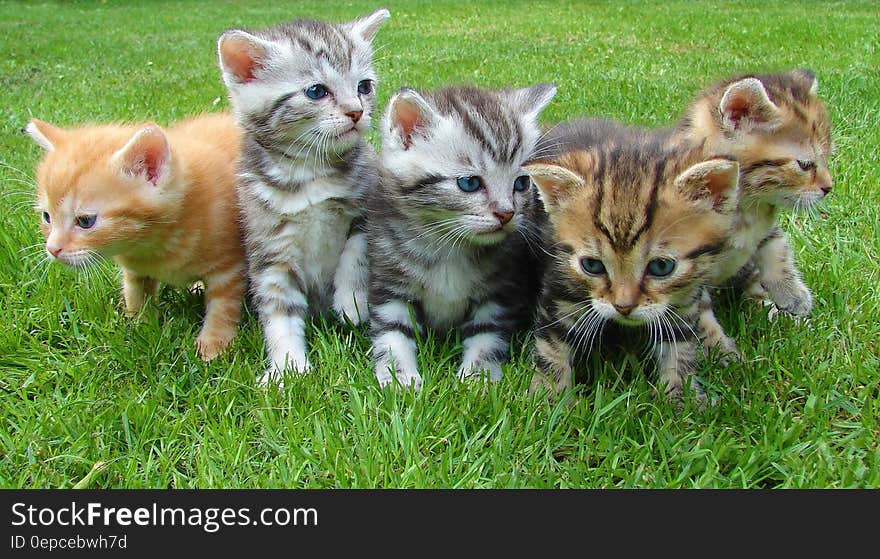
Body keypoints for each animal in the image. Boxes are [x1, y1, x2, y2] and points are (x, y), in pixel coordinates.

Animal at [27, 112, 246, 364]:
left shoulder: (228, 267)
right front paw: (141, 329)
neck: (151, 243)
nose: (52, 249)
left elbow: (223, 307)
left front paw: (213, 346)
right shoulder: (136, 270)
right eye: (47, 217)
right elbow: (135, 295)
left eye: (85, 221)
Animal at [217, 7, 388, 384]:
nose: (356, 111)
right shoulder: (270, 251)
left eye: (364, 86)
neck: (308, 173)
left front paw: (352, 300)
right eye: (316, 91)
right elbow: (279, 313)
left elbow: (356, 250)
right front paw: (287, 367)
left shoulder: (368, 206)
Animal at [370, 84, 560, 390]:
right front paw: (400, 379)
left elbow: (487, 337)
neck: (447, 245)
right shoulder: (390, 284)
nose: (506, 213)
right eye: (469, 183)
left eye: (521, 183)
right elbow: (392, 335)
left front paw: (477, 379)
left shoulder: (498, 294)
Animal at [524, 129, 740, 404]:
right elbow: (552, 342)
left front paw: (681, 396)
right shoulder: (559, 280)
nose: (623, 307)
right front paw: (549, 397)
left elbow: (680, 340)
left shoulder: (684, 294)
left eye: (661, 267)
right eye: (592, 265)